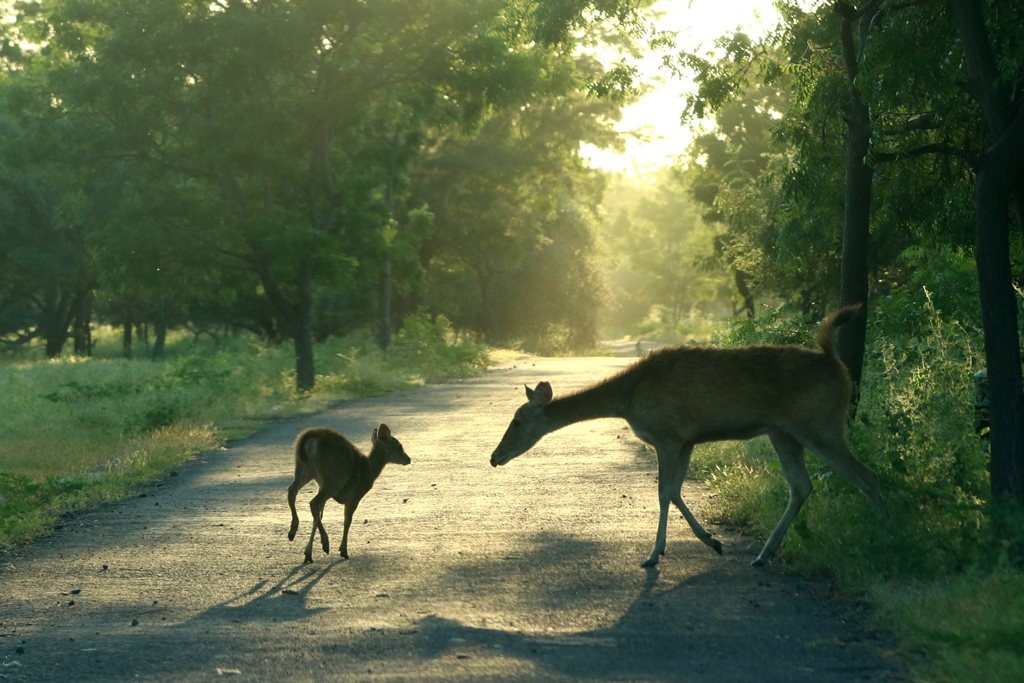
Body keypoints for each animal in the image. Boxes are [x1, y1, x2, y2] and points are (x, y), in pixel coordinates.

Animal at [286, 423, 409, 565]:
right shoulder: (355, 495)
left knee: (293, 491)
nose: (408, 459)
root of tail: (309, 438)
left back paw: (294, 531)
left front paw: (327, 544)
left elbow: (322, 514)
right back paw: (309, 552)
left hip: (306, 469)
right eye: (400, 446)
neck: (370, 470)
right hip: (333, 478)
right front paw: (343, 550)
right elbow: (347, 520)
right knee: (314, 502)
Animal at [485, 305, 880, 565]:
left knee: (867, 476)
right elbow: (674, 491)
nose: (494, 456)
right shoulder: (688, 439)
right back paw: (764, 554)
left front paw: (653, 555)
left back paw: (879, 538)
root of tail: (836, 363)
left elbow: (663, 493)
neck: (628, 398)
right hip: (784, 433)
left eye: (517, 420)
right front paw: (711, 541)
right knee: (801, 485)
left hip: (821, 424)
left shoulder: (668, 435)